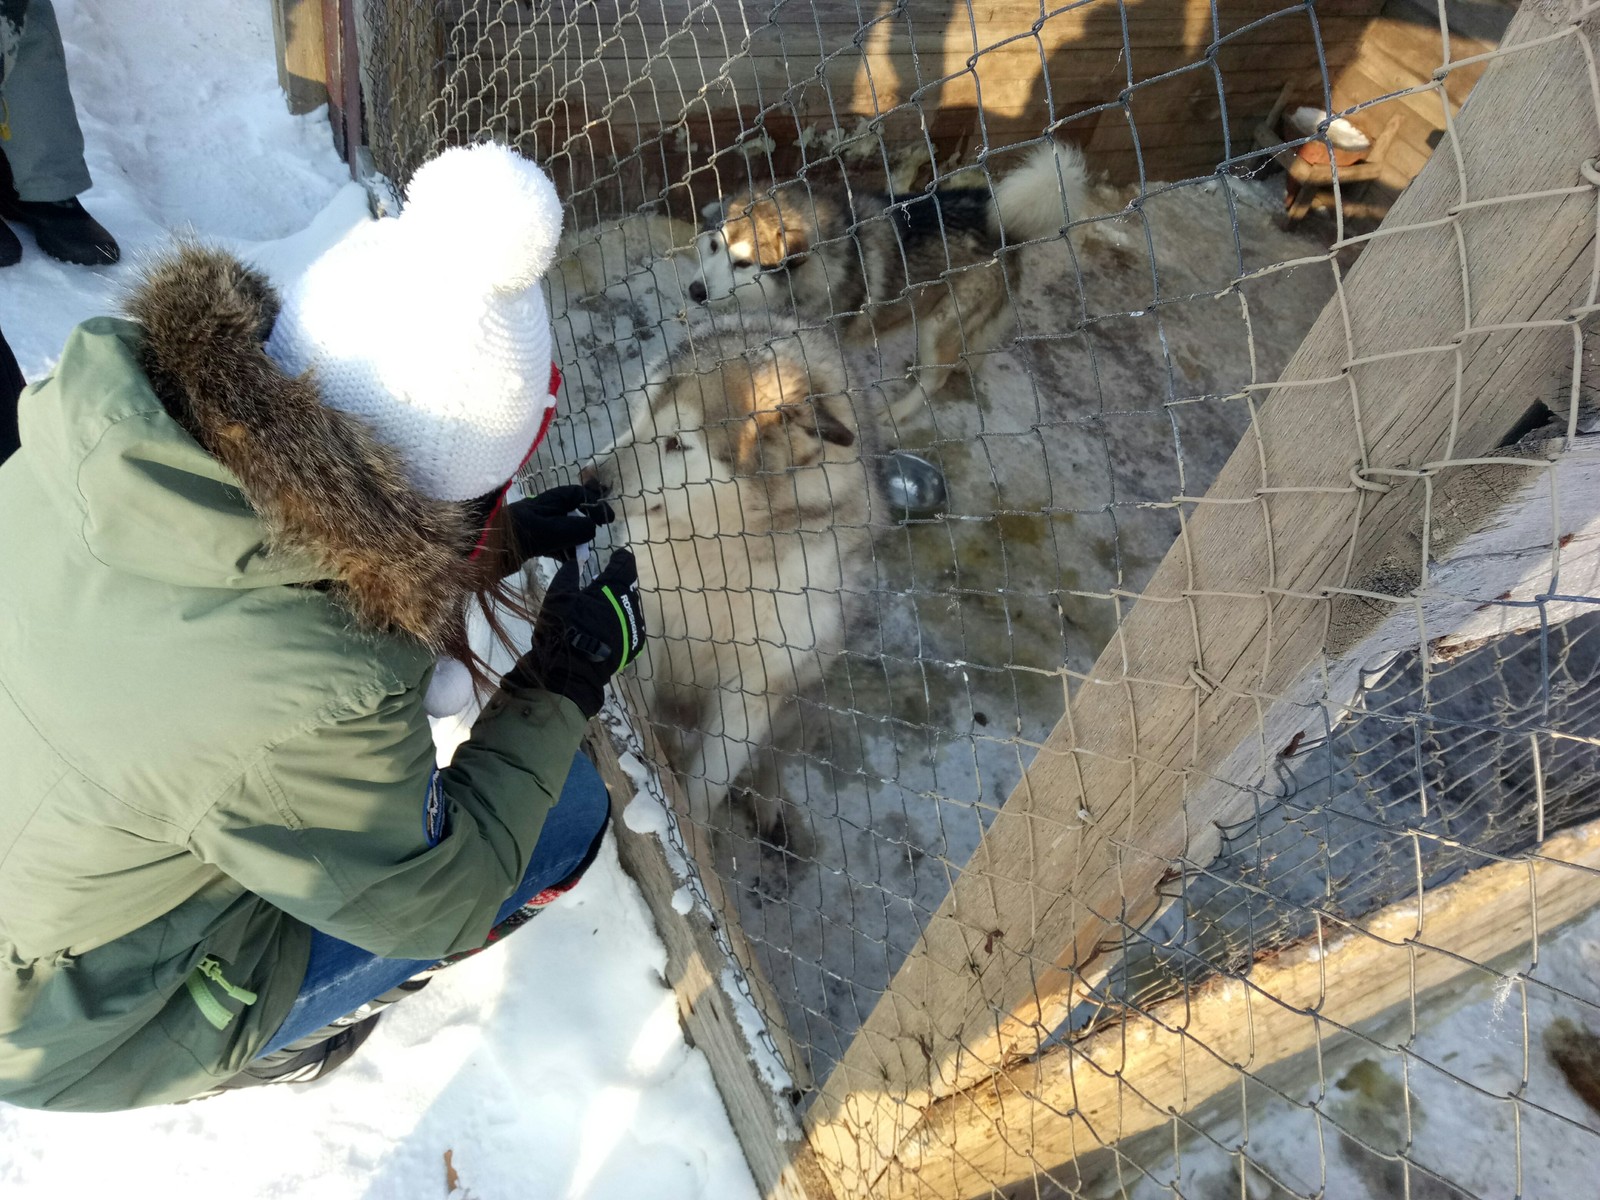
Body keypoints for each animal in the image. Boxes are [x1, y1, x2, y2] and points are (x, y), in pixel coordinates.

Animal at [588, 315, 896, 832]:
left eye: (677, 443)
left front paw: (690, 827)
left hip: (803, 706)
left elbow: (708, 785)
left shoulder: (753, 690)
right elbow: (643, 720)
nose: (587, 483)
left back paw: (770, 805)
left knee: (772, 760)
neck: (718, 555)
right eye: (639, 418)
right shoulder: (647, 624)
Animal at [688, 140, 1126, 395]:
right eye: (712, 245)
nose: (695, 291)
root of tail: (1003, 225)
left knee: (936, 377)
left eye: (742, 263)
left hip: (944, 321)